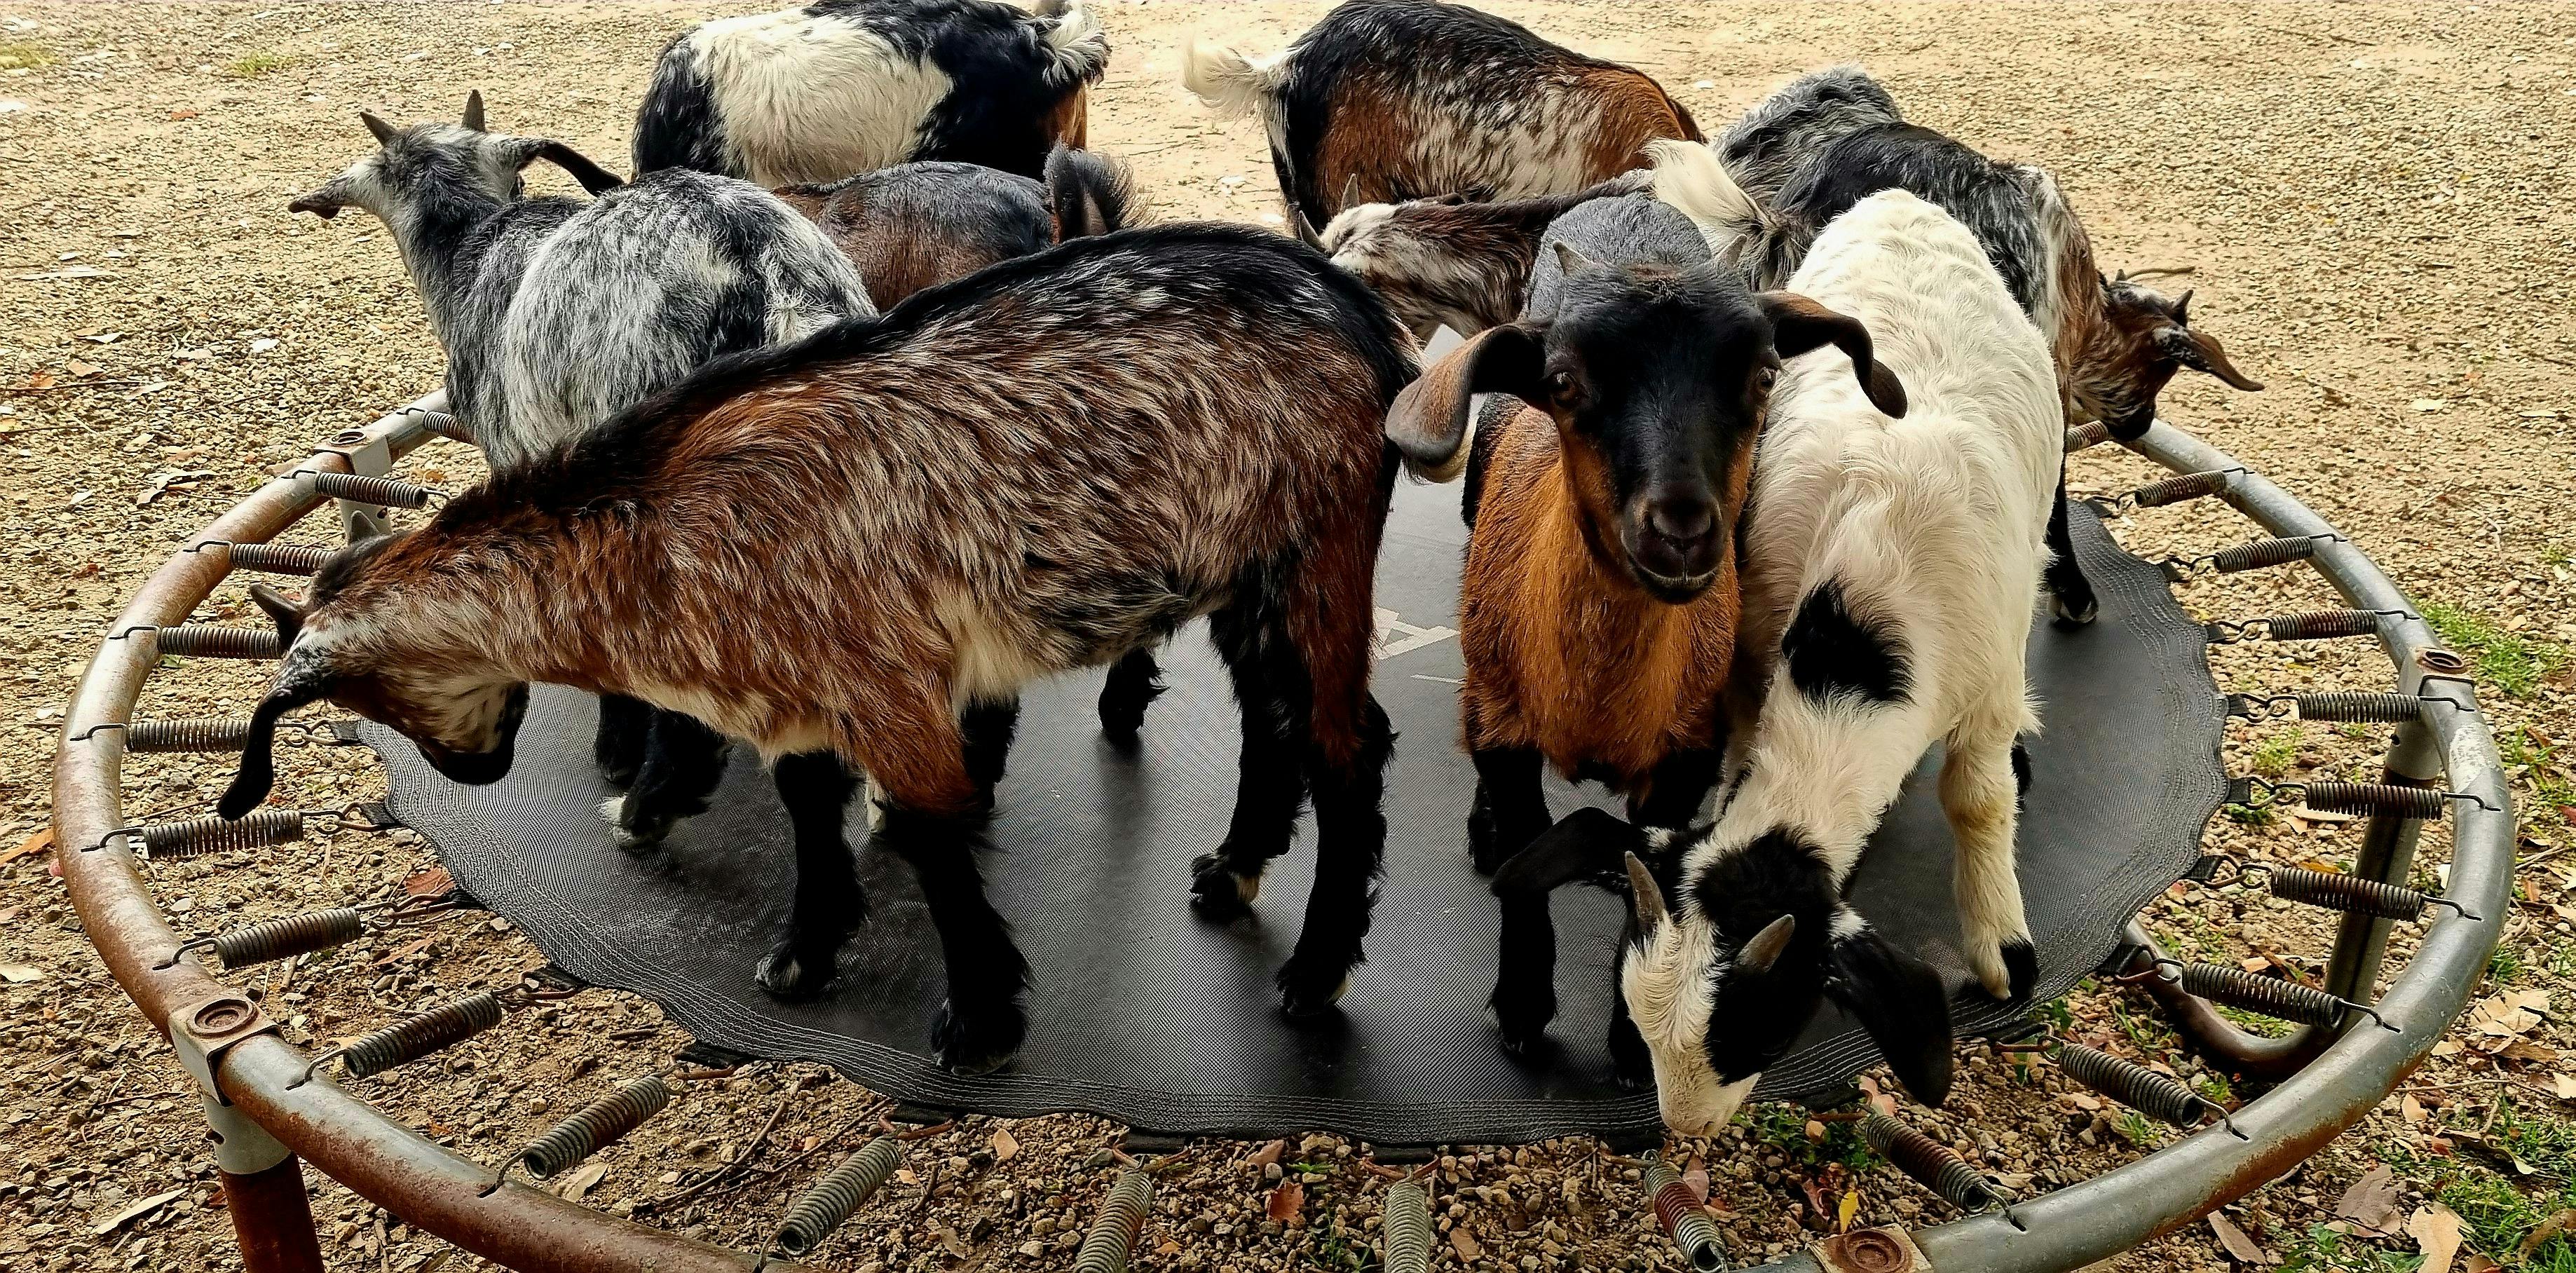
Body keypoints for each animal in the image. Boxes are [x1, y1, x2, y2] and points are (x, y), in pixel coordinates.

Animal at [217, 225, 1415, 1074]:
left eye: (372, 704)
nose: (475, 770)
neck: (658, 526)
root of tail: (1354, 314)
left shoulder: (887, 685)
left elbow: (930, 835)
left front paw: (978, 1019)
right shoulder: (791, 696)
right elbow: (804, 809)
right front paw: (804, 953)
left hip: (1313, 549)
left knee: (1349, 745)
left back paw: (1313, 974)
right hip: (1242, 577)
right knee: (1273, 721)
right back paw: (1231, 869)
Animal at [1382, 193, 1907, 1079]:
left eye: (1764, 375)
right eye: (1562, 382)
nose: (1683, 532)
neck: (1595, 693)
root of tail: (1630, 200)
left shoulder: (1684, 759)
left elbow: (1648, 882)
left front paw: (1632, 1041)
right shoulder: (1506, 733)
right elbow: (1526, 868)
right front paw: (1523, 1009)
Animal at [1527, 190, 2063, 1135]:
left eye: (1766, 1030)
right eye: (1637, 1012)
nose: (1685, 1132)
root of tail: (1901, 200)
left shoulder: (1992, 680)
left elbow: (1978, 799)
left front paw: (2003, 947)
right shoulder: (1751, 660)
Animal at [1657, 66, 2263, 625]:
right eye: (2157, 373)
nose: (2141, 426)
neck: (2085, 296)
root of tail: (1796, 215)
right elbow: (2053, 500)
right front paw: (2072, 593)